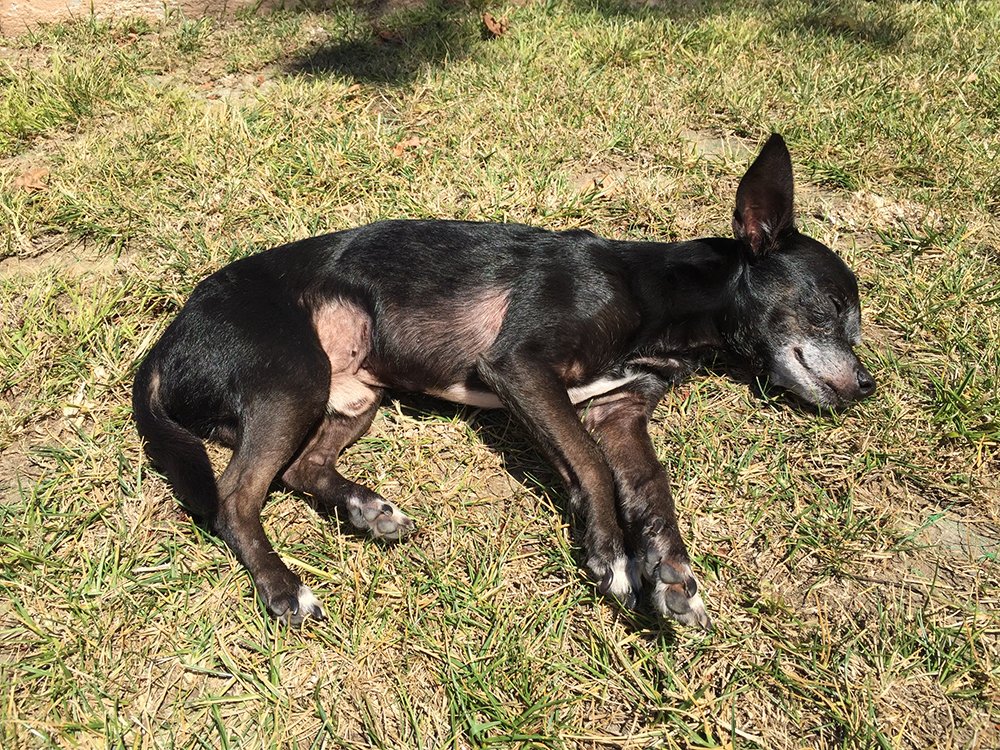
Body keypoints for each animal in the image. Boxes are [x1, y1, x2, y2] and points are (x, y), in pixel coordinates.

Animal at [135, 134, 876, 628]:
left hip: (356, 394)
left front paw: (671, 574)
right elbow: (589, 464)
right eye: (831, 306)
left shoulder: (617, 410)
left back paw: (367, 511)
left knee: (299, 469)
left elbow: (650, 485)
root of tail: (168, 339)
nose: (868, 386)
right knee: (235, 497)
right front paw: (612, 555)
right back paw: (285, 588)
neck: (659, 297)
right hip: (295, 381)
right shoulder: (521, 367)